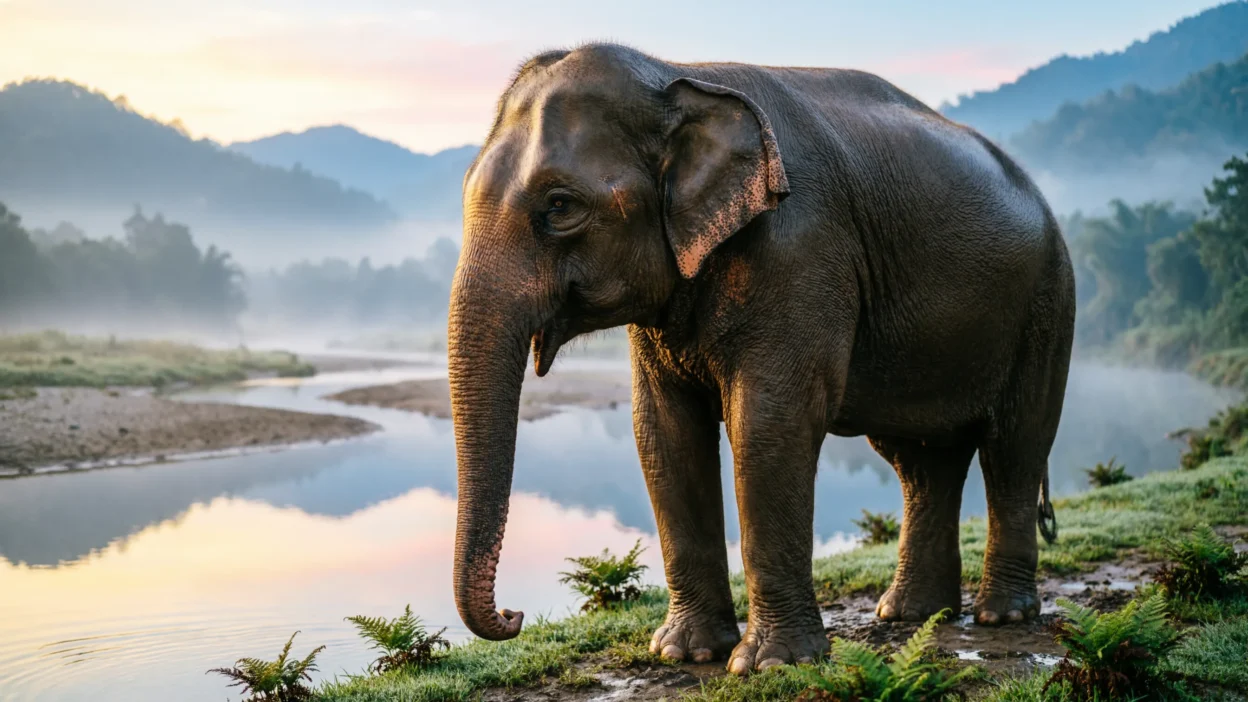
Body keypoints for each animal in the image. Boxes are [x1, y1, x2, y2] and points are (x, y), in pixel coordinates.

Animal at [448, 43, 1075, 675]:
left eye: (559, 205)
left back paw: (1002, 616)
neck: (673, 74)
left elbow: (771, 424)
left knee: (1014, 447)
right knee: (922, 462)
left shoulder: (802, 251)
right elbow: (663, 433)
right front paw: (684, 652)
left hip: (1047, 306)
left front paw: (771, 664)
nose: (514, 615)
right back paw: (910, 615)